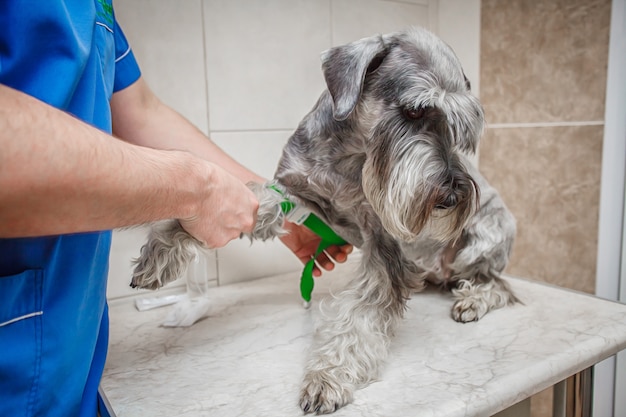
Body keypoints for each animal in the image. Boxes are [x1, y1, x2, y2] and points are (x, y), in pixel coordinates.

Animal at [129, 27, 516, 414]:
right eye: (413, 110)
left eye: (459, 126)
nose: (453, 195)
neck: (351, 159)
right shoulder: (292, 192)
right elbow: (251, 199)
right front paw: (162, 251)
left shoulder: (385, 246)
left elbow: (358, 315)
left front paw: (327, 378)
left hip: (482, 241)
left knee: (500, 284)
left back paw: (472, 301)